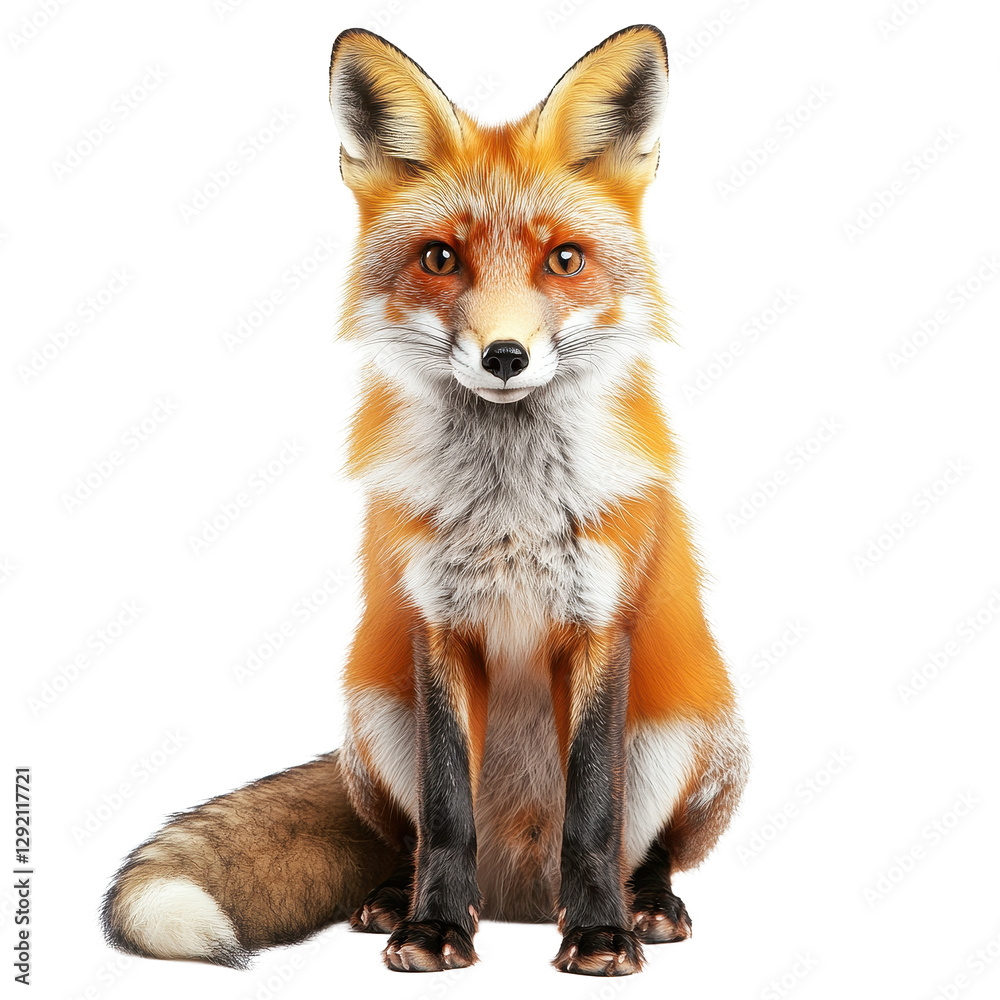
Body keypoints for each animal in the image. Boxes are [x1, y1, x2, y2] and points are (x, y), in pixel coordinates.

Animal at [101, 24, 749, 976]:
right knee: (406, 842)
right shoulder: (435, 624)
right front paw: (435, 926)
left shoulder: (600, 626)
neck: (510, 508)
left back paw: (647, 902)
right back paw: (392, 900)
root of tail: (521, 896)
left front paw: (602, 932)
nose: (506, 356)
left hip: (699, 731)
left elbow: (594, 814)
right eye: (441, 258)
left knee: (647, 844)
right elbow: (446, 812)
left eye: (564, 260)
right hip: (373, 721)